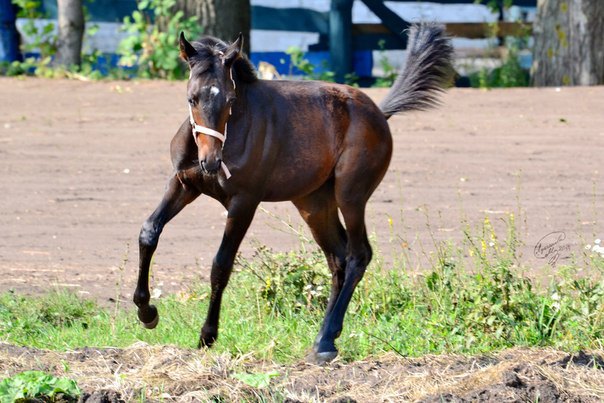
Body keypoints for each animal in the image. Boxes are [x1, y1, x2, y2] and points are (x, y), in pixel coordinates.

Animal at [133, 21, 452, 362]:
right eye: (192, 99)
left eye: (230, 100)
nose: (212, 162)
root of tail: (378, 112)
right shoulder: (183, 183)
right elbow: (149, 231)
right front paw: (147, 312)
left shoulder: (244, 201)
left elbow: (221, 263)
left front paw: (207, 336)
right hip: (313, 203)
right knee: (337, 257)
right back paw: (326, 338)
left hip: (351, 195)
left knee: (358, 254)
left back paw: (325, 341)